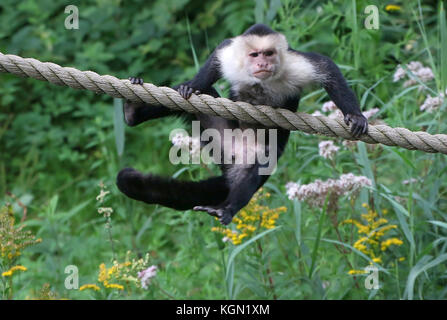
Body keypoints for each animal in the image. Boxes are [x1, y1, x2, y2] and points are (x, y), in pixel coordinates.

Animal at [116, 23, 368, 225]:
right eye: (255, 54)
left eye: (269, 53)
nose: (263, 62)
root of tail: (230, 163)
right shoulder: (231, 57)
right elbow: (215, 59)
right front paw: (191, 86)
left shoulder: (294, 65)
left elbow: (326, 68)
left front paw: (355, 115)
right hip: (219, 138)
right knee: (202, 97)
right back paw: (133, 111)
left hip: (246, 155)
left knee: (257, 166)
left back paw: (227, 209)